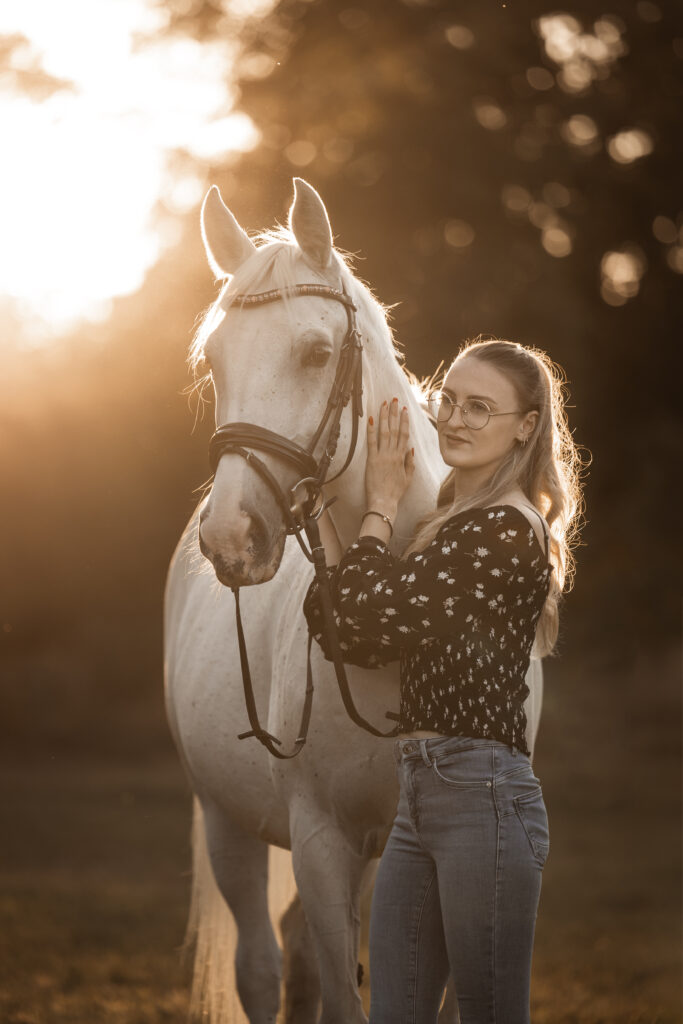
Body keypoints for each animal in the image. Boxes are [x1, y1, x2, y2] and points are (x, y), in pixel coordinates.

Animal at [165, 178, 544, 1024]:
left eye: (313, 353)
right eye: (213, 358)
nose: (230, 537)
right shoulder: (320, 841)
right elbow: (340, 997)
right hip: (226, 824)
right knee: (262, 966)